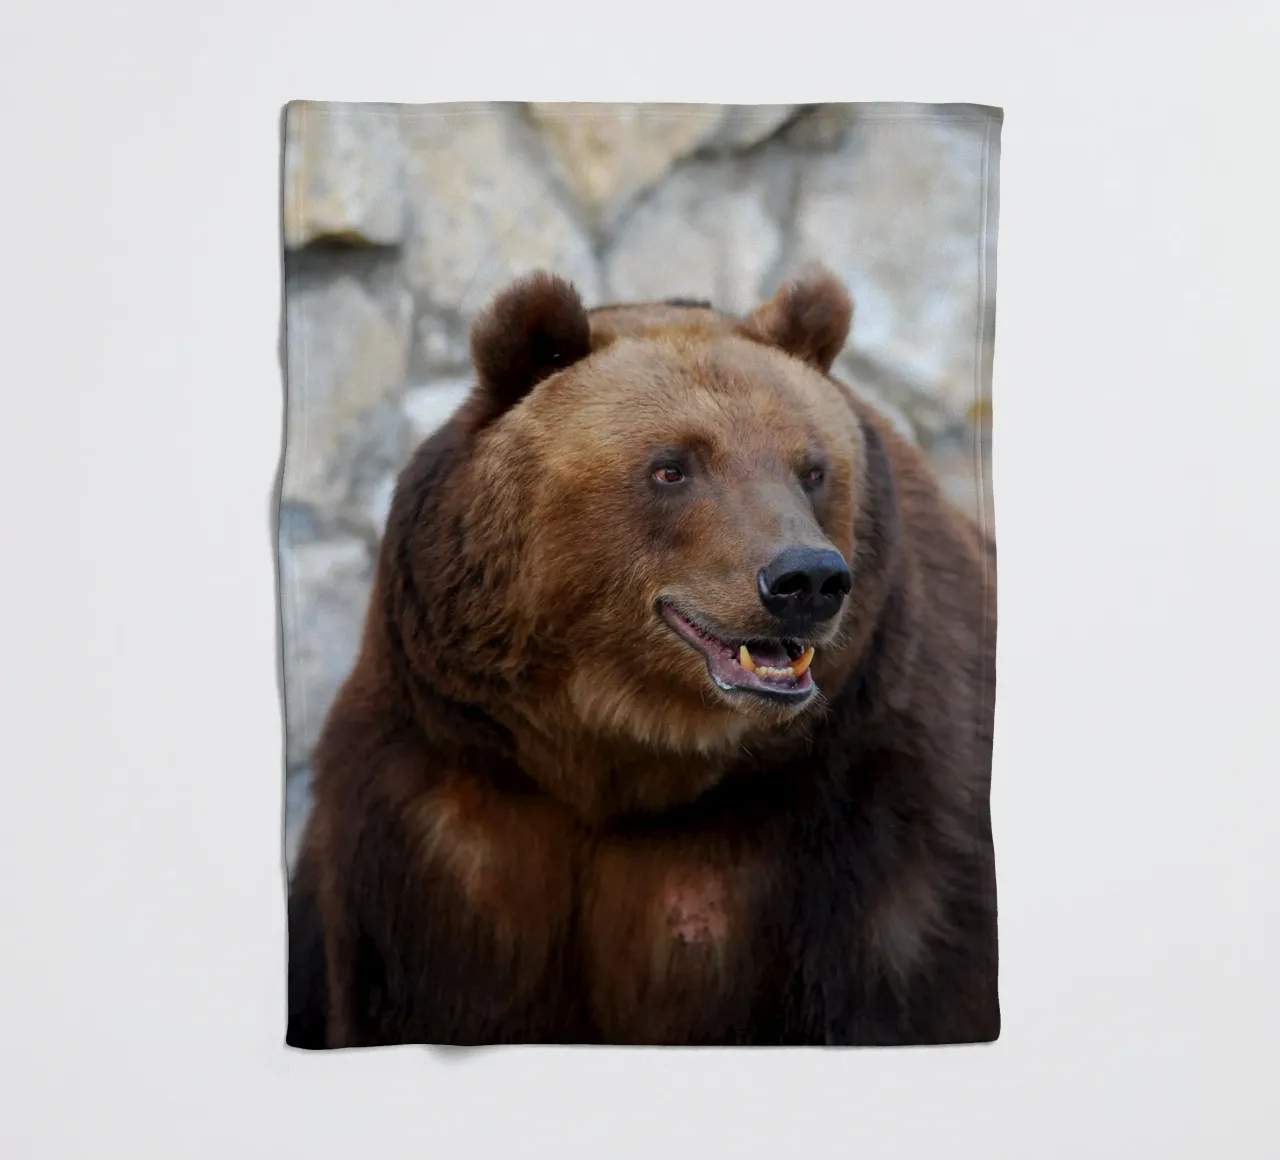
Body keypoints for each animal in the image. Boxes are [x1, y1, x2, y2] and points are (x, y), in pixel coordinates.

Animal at [286, 265, 999, 1048]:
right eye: (671, 467)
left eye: (812, 468)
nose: (806, 578)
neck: (621, 752)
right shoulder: (448, 814)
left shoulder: (858, 828)